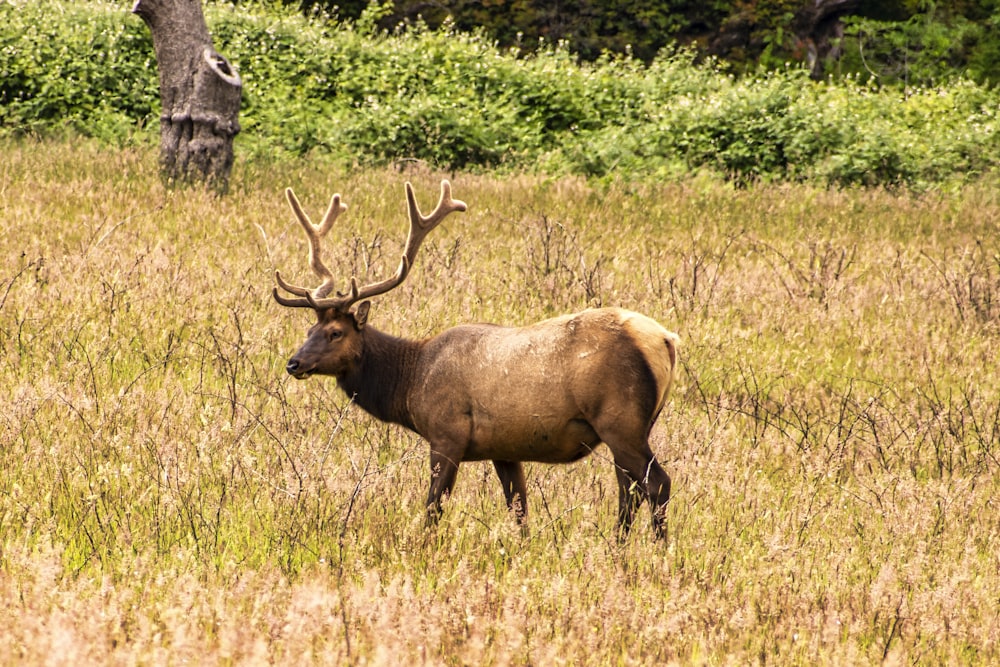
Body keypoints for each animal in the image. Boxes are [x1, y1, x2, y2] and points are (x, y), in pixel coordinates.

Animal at [274, 180, 680, 540]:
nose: (294, 363)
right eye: (310, 329)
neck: (411, 382)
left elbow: (433, 507)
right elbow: (519, 509)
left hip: (620, 419)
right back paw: (620, 547)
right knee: (628, 490)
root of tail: (666, 339)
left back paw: (658, 551)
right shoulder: (504, 449)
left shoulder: (447, 433)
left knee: (657, 483)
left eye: (335, 333)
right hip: (633, 426)